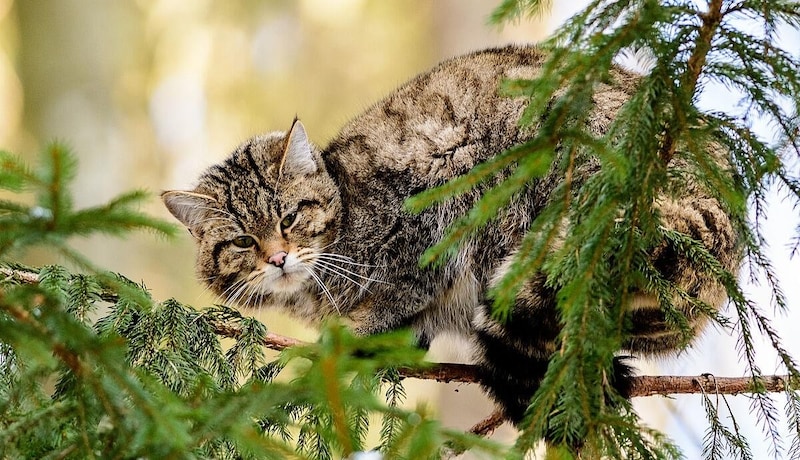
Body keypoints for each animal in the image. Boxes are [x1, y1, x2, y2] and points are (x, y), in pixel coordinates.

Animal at [159, 45, 740, 424]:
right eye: (242, 242)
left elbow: (401, 289)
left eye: (288, 219)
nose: (278, 258)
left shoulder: (427, 211)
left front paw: (359, 332)